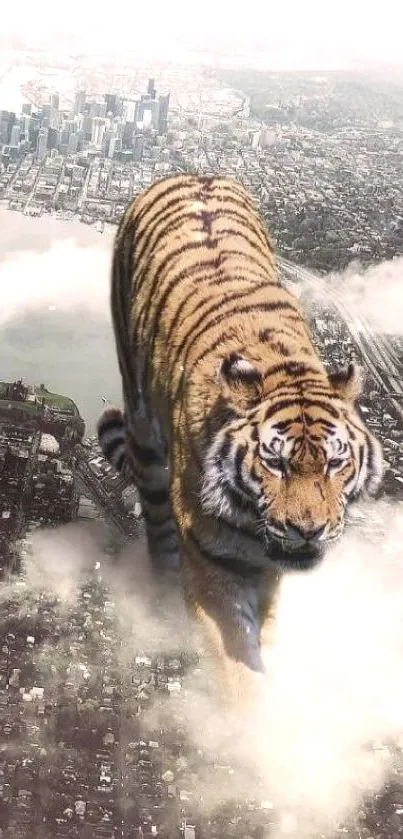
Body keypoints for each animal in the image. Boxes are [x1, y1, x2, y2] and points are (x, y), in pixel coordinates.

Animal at [98, 172, 386, 708]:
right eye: (276, 463)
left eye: (335, 464)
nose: (309, 530)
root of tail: (193, 173)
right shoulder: (216, 565)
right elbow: (238, 666)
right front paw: (250, 725)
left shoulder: (268, 568)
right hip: (144, 436)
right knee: (158, 535)